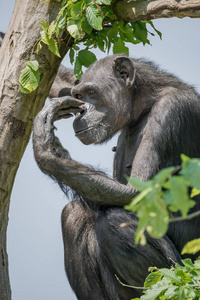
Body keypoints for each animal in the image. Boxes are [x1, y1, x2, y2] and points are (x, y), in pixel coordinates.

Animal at [32, 55, 200, 298]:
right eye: (78, 96)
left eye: (92, 92)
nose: (81, 111)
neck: (143, 105)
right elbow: (62, 80)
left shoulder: (171, 112)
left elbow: (139, 193)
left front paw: (45, 143)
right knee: (73, 214)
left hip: (178, 273)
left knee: (112, 221)